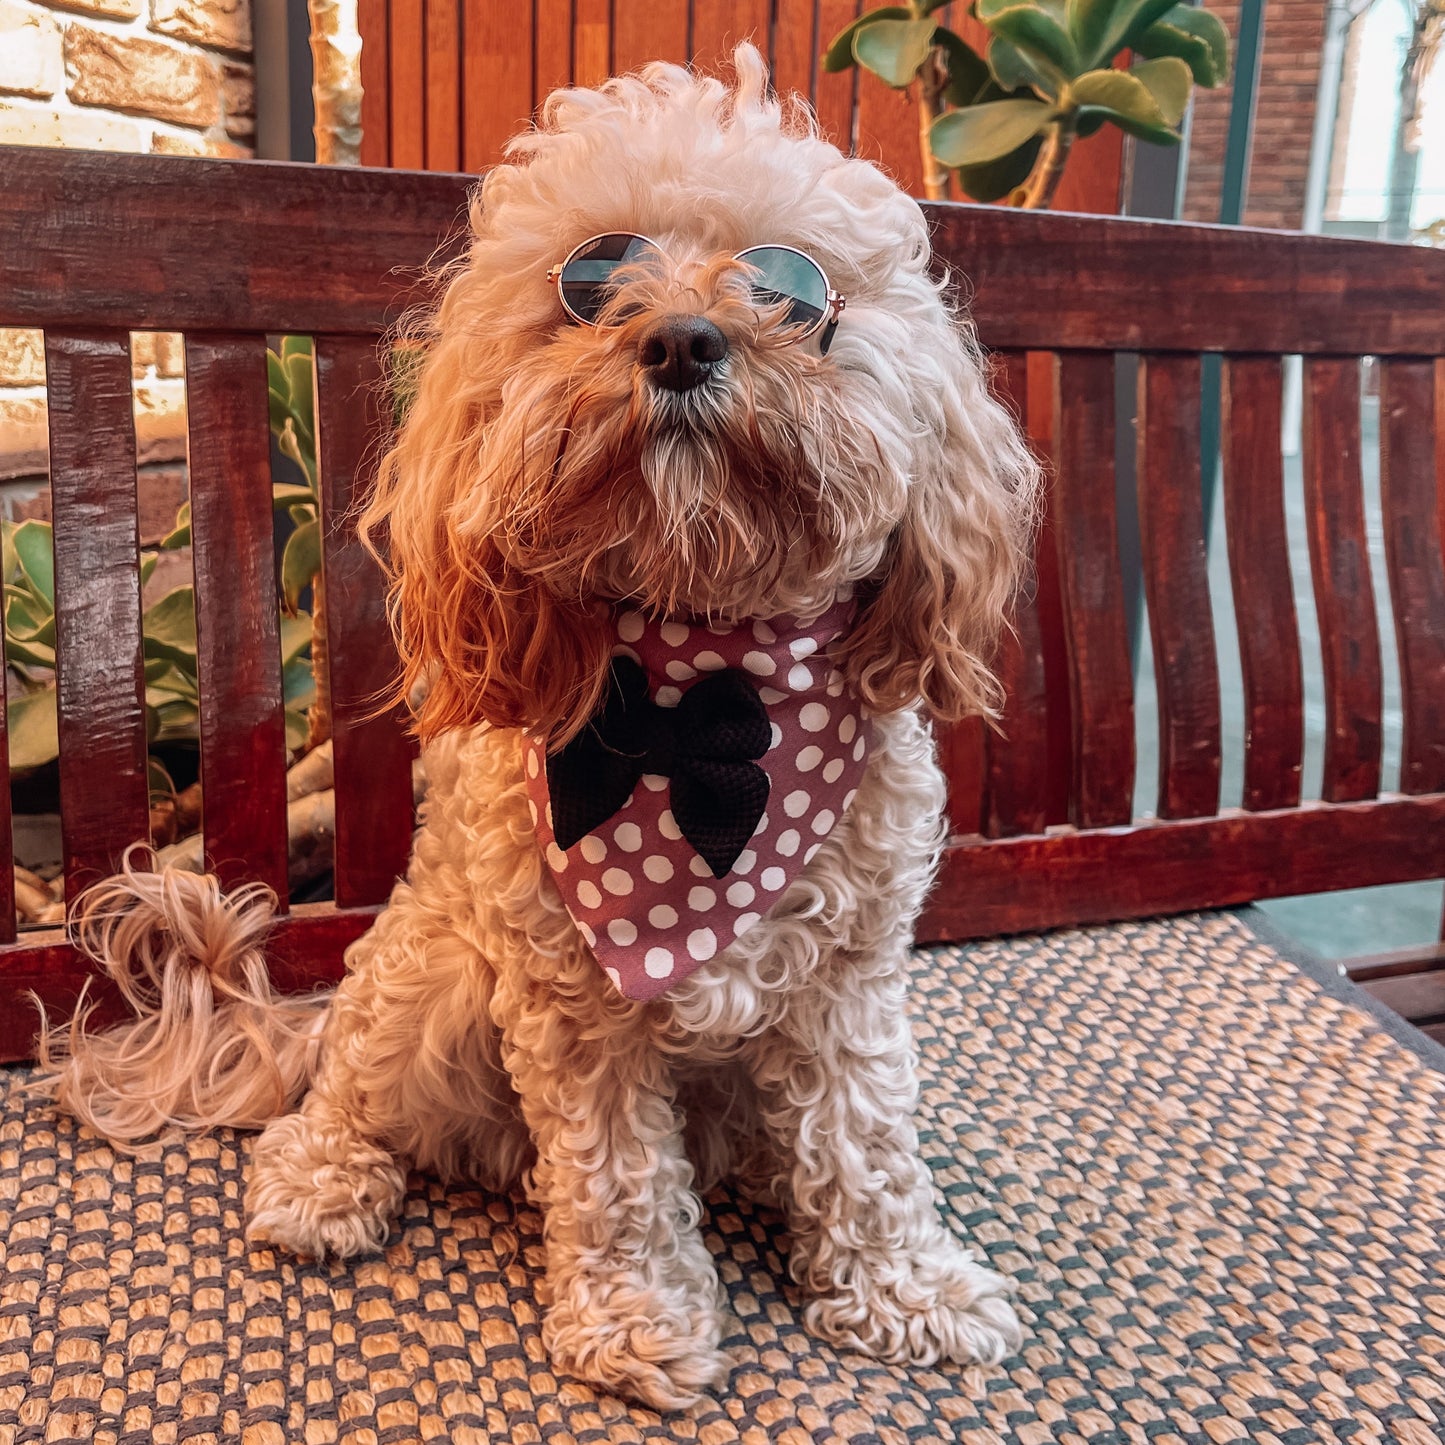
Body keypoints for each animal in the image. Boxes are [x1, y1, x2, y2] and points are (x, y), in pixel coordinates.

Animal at [42, 48, 1040, 1410]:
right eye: (591, 279)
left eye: (790, 289)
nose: (679, 337)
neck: (706, 705)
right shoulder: (569, 997)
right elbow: (614, 1175)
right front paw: (636, 1317)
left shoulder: (849, 976)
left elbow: (866, 1138)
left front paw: (903, 1284)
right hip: (427, 977)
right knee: (348, 1085)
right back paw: (324, 1176)